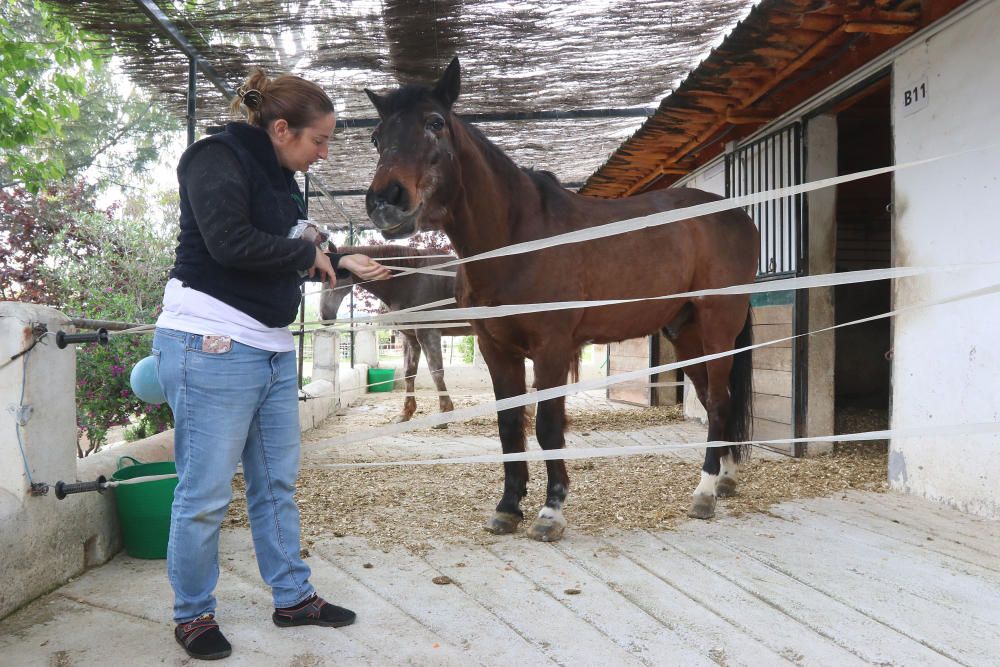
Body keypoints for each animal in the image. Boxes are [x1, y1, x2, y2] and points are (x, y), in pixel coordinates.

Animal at [322, 244, 474, 422]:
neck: (411, 279)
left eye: (333, 275)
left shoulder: (428, 333)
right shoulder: (410, 337)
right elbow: (409, 373)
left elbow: (436, 372)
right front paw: (406, 412)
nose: (325, 316)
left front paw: (445, 412)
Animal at [364, 60, 752, 544]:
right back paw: (725, 480)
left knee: (717, 401)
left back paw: (704, 493)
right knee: (718, 397)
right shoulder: (496, 349)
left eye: (435, 123)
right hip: (687, 333)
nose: (386, 201)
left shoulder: (551, 347)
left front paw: (550, 513)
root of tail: (736, 215)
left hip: (718, 326)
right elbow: (510, 425)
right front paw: (508, 508)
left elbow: (548, 425)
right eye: (377, 137)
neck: (517, 236)